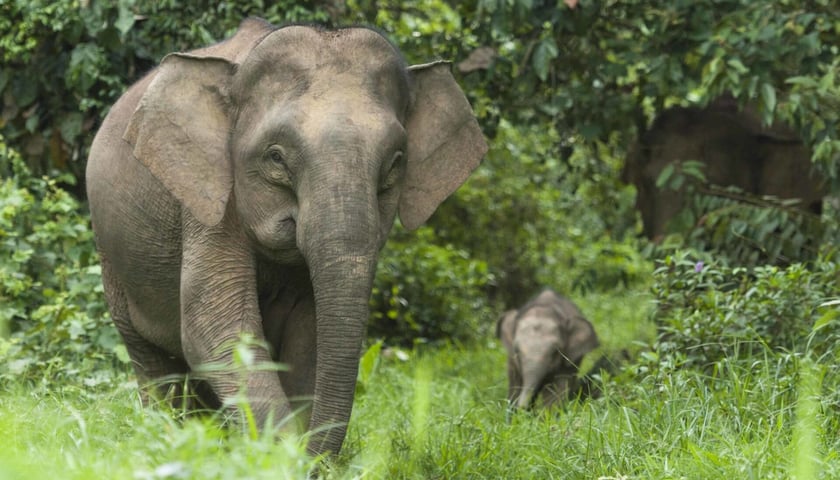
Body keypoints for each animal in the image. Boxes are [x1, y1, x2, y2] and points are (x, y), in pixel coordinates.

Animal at [85, 17, 486, 458]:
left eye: (396, 163)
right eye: (276, 158)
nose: (318, 460)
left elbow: (308, 336)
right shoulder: (209, 203)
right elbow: (216, 326)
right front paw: (282, 454)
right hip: (114, 260)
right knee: (153, 364)